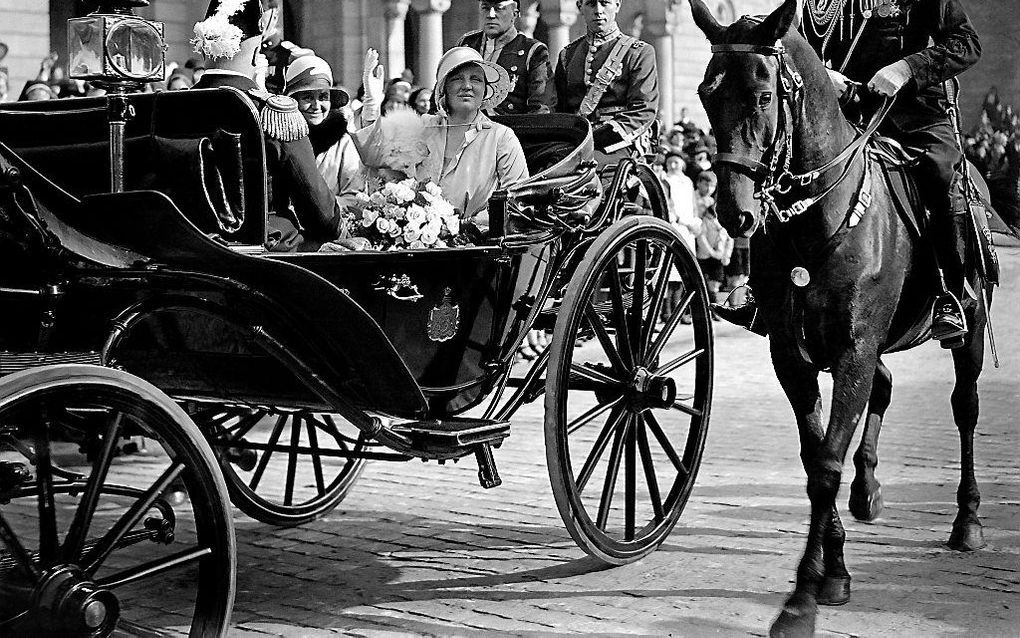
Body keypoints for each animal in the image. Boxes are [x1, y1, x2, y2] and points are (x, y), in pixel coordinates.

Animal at [689, 0, 991, 632]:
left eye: (763, 94)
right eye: (706, 92)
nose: (733, 212)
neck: (817, 221)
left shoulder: (854, 349)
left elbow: (827, 461)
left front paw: (803, 597)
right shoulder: (792, 355)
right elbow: (815, 458)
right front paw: (834, 570)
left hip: (969, 329)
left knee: (965, 408)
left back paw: (967, 520)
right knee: (886, 388)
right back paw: (868, 487)